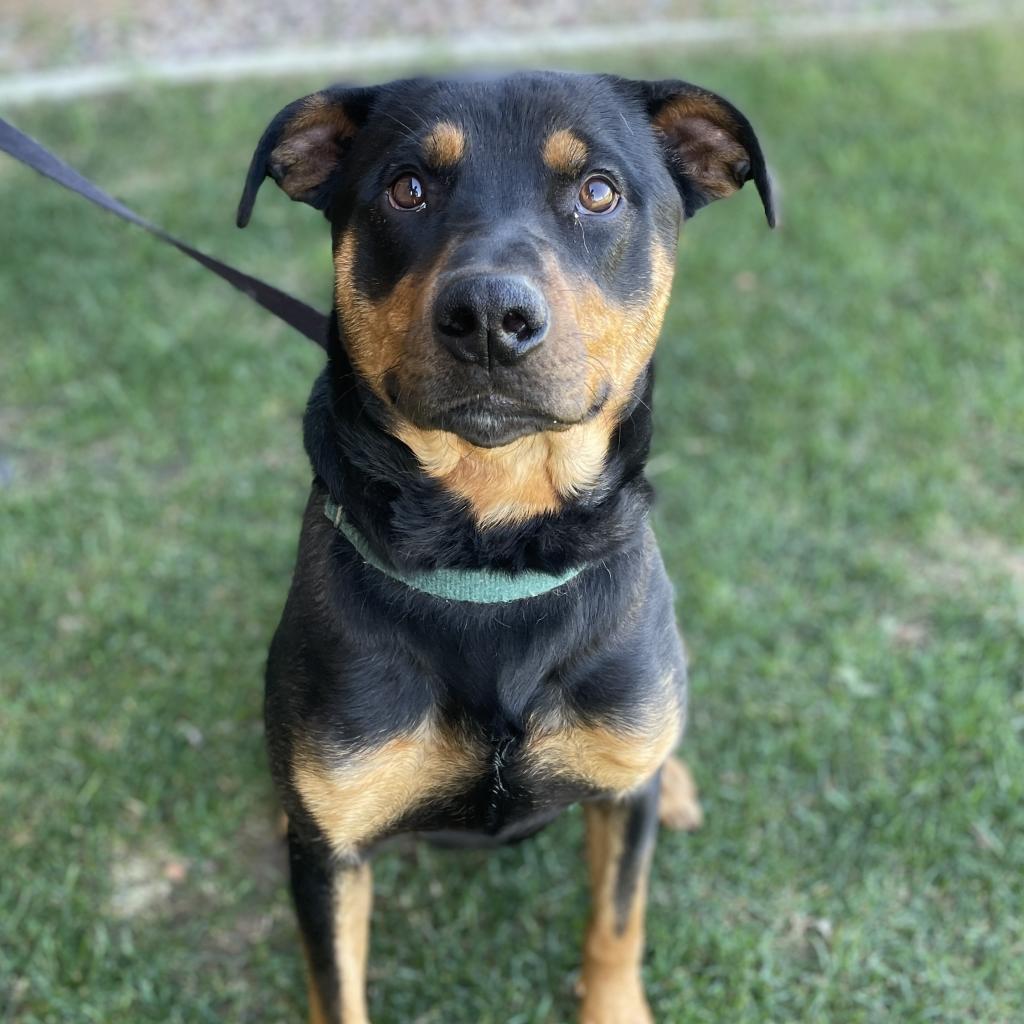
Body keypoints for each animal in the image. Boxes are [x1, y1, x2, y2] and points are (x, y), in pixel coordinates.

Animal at [235, 68, 770, 1019]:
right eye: (407, 187)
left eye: (598, 191)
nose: (491, 314)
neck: (493, 547)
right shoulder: (329, 851)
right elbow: (336, 985)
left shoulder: (618, 793)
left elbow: (616, 923)